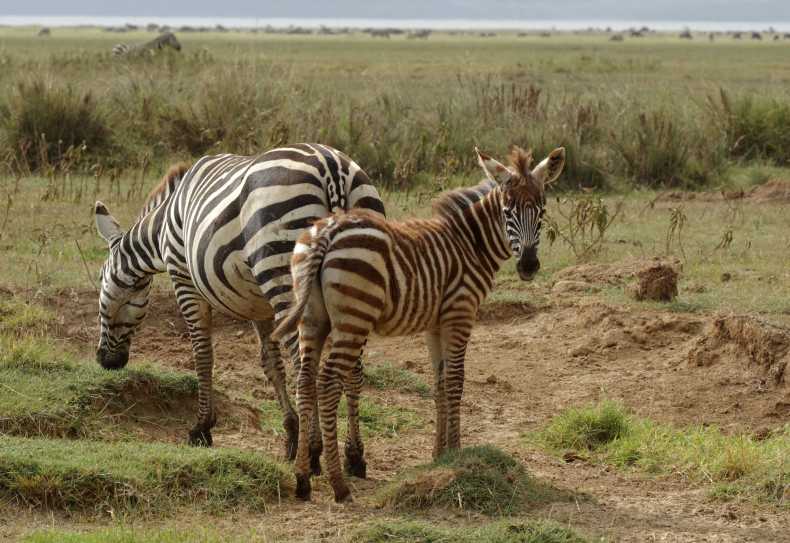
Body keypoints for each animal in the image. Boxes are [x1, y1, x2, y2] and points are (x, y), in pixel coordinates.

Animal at [93, 144, 385, 460]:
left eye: (102, 281)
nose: (105, 361)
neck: (161, 231)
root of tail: (330, 166)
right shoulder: (260, 306)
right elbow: (271, 363)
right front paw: (291, 433)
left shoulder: (183, 279)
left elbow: (202, 354)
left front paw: (202, 428)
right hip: (353, 277)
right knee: (353, 368)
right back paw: (354, 455)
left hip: (285, 273)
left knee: (304, 364)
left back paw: (313, 451)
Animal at [272, 145, 566, 502]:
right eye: (508, 211)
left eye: (542, 209)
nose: (528, 266)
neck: (470, 244)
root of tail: (326, 231)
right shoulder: (460, 313)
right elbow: (455, 381)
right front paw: (458, 453)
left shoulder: (435, 323)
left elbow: (439, 382)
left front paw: (440, 454)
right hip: (354, 317)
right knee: (328, 381)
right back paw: (339, 483)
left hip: (312, 317)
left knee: (304, 380)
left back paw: (302, 478)